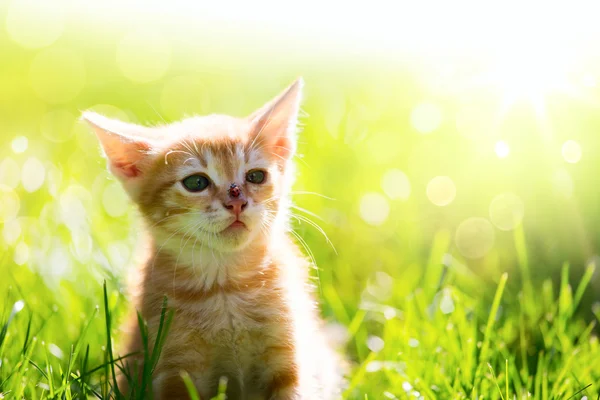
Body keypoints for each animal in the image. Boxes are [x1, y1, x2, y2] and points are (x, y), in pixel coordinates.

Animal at [82, 79, 342, 400]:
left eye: (256, 176)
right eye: (196, 182)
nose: (237, 201)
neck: (225, 287)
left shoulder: (288, 357)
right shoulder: (173, 369)